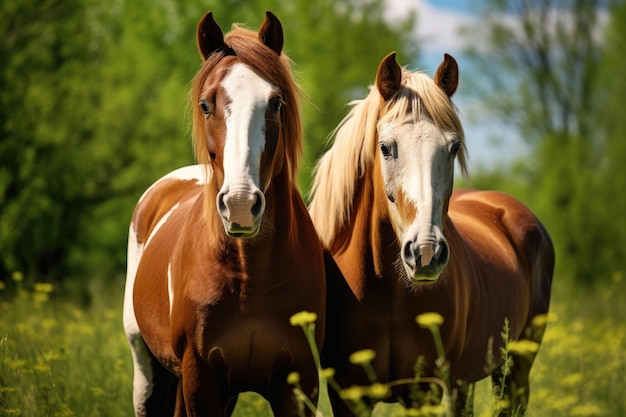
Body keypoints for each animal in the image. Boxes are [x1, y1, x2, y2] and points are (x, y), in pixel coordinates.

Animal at [123, 11, 326, 414]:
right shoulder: (200, 377)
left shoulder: (300, 380)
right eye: (205, 104)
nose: (240, 205)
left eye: (275, 102)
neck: (251, 276)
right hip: (147, 366)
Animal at [308, 52, 552, 416]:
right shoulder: (349, 396)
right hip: (465, 382)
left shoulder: (425, 392)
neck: (386, 295)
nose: (426, 253)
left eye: (453, 147)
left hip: (515, 368)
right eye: (385, 147)